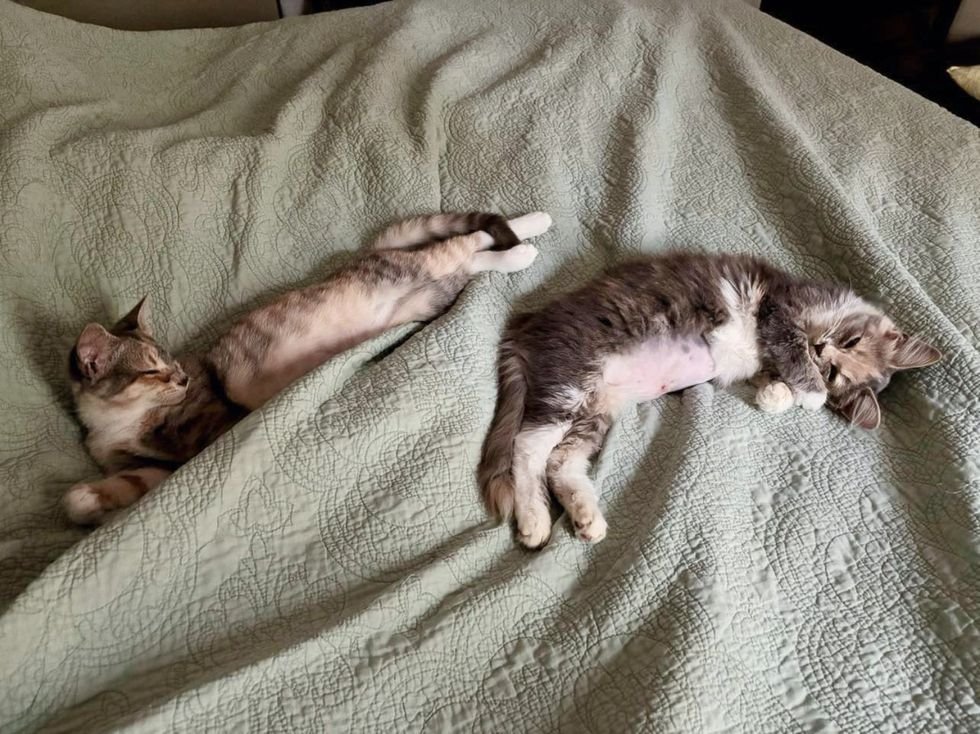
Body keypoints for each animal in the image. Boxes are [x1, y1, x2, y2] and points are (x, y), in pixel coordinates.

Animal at [63, 210, 552, 528]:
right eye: (151, 370)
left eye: (170, 363)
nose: (181, 379)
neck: (116, 425)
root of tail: (369, 255)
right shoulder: (154, 465)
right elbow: (136, 480)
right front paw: (83, 501)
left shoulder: (209, 428)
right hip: (426, 296)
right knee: (471, 253)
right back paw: (525, 236)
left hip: (416, 276)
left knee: (467, 243)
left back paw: (529, 238)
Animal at [480, 250, 940, 548]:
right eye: (851, 341)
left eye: (837, 372)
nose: (823, 349)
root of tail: (528, 322)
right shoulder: (782, 310)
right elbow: (791, 350)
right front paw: (809, 394)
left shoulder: (767, 357)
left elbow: (777, 379)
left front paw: (780, 395)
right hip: (573, 377)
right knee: (527, 446)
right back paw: (534, 520)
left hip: (595, 408)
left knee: (561, 461)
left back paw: (585, 516)